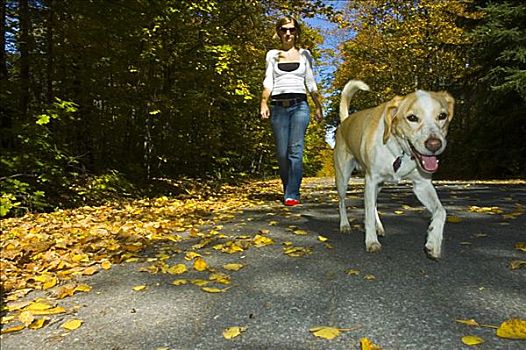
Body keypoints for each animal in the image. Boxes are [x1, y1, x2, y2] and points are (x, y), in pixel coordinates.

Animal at [336, 80, 456, 260]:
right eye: (412, 118)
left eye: (442, 116)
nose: (434, 145)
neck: (400, 150)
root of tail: (346, 121)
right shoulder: (371, 180)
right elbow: (367, 214)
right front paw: (371, 241)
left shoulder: (422, 185)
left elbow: (441, 211)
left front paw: (433, 242)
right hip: (343, 178)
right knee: (342, 202)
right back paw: (345, 224)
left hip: (377, 186)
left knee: (373, 205)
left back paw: (378, 227)